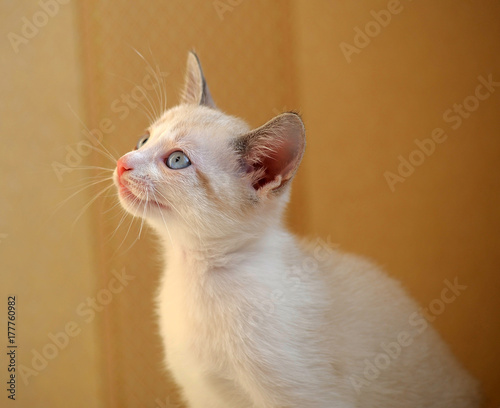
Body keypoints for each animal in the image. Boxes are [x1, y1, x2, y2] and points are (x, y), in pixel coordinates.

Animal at [112, 52, 480, 406]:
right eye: (144, 140)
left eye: (177, 161)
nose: (122, 163)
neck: (197, 271)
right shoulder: (204, 395)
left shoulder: (304, 395)